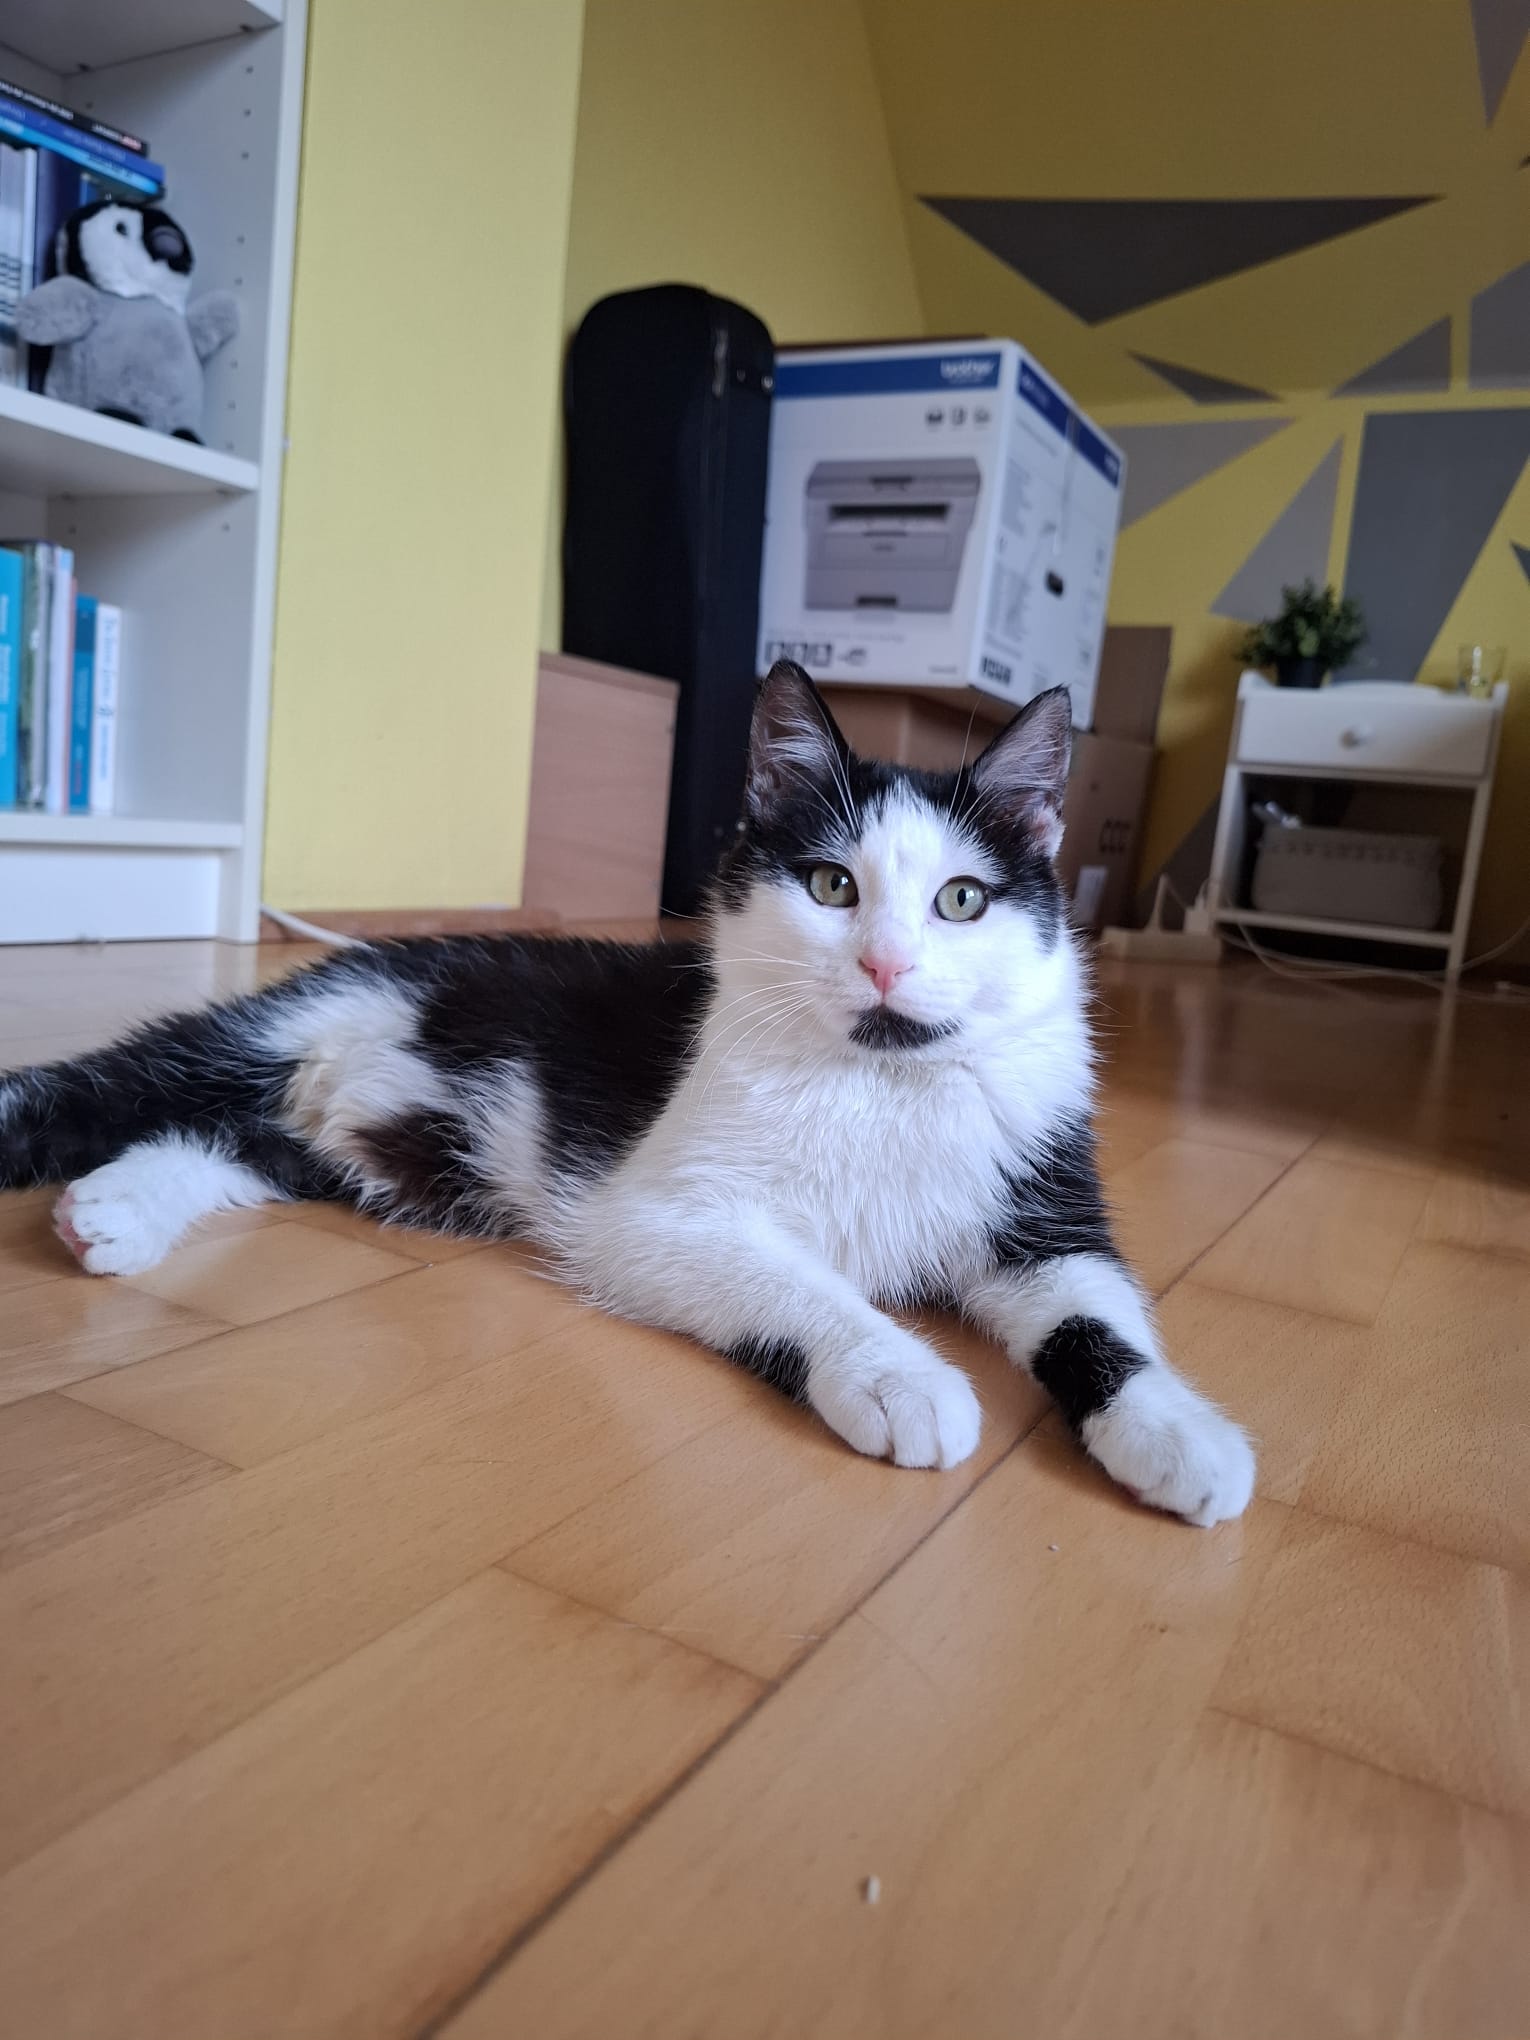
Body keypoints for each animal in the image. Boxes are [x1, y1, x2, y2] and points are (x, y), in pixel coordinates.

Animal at [0, 662, 1254, 1525]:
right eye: (831, 885)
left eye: (961, 900)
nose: (887, 966)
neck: (879, 1074)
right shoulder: (651, 1212)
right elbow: (798, 1281)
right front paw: (898, 1373)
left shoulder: (1045, 1193)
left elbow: (1097, 1307)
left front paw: (1177, 1430)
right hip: (302, 1021)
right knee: (126, 1085)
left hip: (366, 1142)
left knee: (230, 1139)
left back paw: (111, 1212)